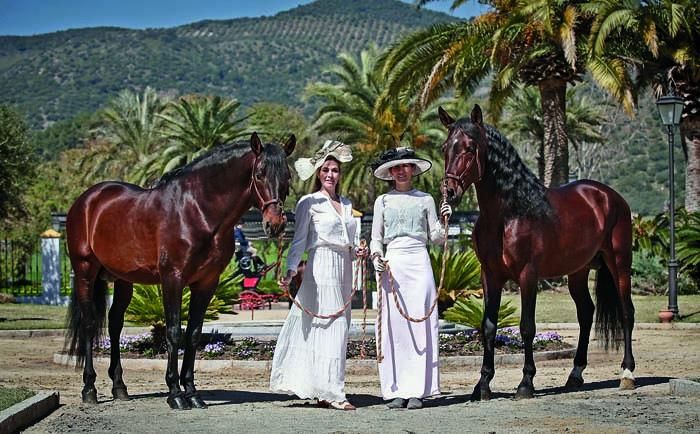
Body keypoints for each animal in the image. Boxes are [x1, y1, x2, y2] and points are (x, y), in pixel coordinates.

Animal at [65, 133, 296, 410]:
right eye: (260, 173)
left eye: (288, 176)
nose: (275, 224)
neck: (196, 211)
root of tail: (88, 200)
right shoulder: (172, 279)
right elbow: (174, 332)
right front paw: (175, 393)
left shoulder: (206, 283)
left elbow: (194, 334)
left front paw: (192, 392)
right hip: (85, 271)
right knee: (89, 324)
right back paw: (89, 388)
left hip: (123, 280)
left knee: (115, 324)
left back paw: (120, 387)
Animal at [440, 104, 636, 400]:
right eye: (445, 148)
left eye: (470, 147)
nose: (449, 192)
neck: (509, 214)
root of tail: (609, 196)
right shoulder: (490, 276)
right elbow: (488, 327)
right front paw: (482, 385)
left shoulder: (527, 275)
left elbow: (527, 327)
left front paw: (526, 383)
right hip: (578, 272)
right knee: (586, 313)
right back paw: (575, 374)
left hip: (619, 264)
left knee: (626, 312)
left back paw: (627, 373)